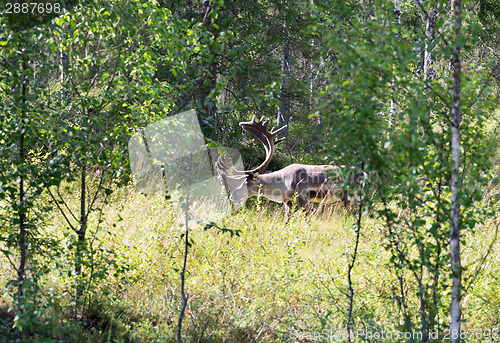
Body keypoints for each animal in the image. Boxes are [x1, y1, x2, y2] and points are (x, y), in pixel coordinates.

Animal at [216, 117, 368, 222]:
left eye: (245, 183)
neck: (281, 184)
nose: (232, 197)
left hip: (348, 197)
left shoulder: (302, 197)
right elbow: (286, 222)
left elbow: (308, 220)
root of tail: (364, 174)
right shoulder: (287, 202)